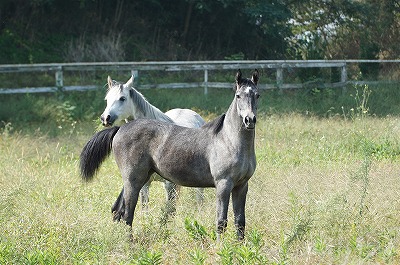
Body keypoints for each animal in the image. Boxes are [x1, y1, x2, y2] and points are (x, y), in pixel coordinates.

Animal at [100, 75, 206, 211]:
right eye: (107, 99)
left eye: (122, 98)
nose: (105, 118)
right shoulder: (144, 184)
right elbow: (145, 207)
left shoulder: (169, 184)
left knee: (199, 198)